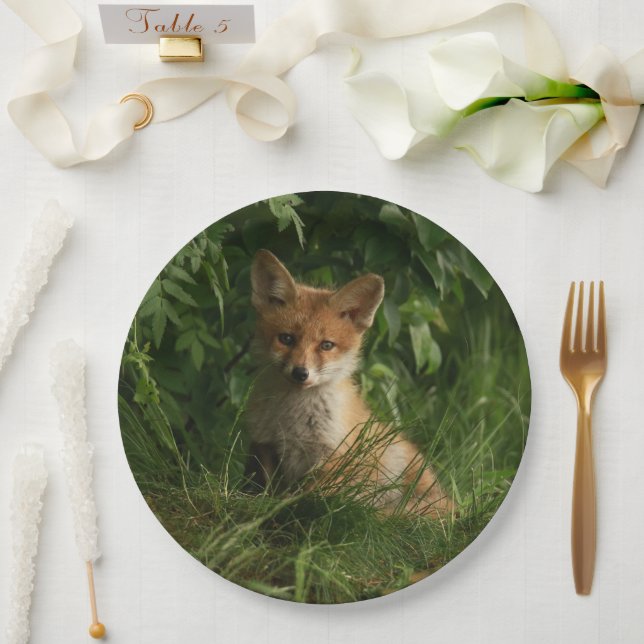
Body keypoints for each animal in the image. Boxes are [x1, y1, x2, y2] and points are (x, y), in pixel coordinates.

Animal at [245, 249, 452, 517]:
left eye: (326, 345)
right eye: (286, 339)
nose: (301, 373)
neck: (292, 420)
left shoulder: (333, 455)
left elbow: (308, 497)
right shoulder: (265, 444)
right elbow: (266, 489)